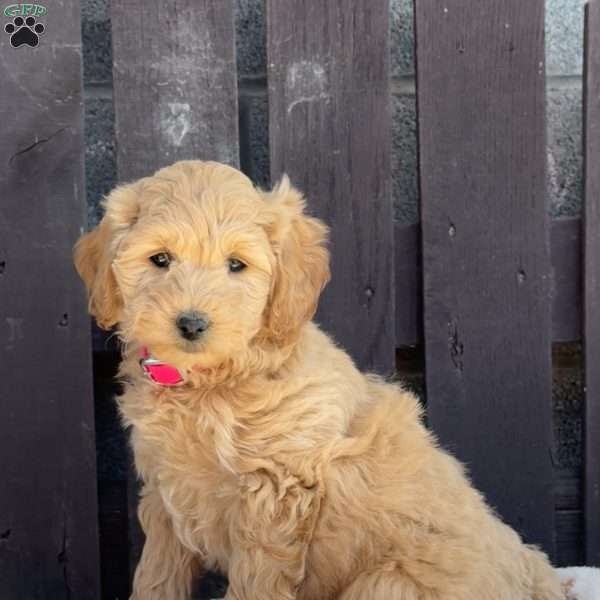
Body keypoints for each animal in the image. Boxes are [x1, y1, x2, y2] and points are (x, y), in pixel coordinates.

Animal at [75, 161, 564, 600]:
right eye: (159, 259)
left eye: (236, 265)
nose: (192, 324)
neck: (210, 383)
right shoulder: (166, 496)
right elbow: (157, 576)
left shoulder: (271, 496)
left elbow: (255, 584)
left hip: (387, 583)